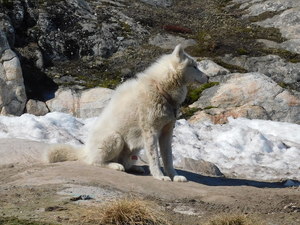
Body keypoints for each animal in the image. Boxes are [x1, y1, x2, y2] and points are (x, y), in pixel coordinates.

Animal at [49, 44, 209, 182]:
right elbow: (155, 158)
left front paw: (175, 177)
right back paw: (115, 166)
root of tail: (85, 151)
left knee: (125, 163)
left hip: (134, 148)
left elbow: (168, 159)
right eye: (194, 67)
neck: (161, 90)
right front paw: (159, 176)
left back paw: (134, 168)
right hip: (115, 138)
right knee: (95, 162)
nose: (208, 77)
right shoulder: (150, 132)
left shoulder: (166, 132)